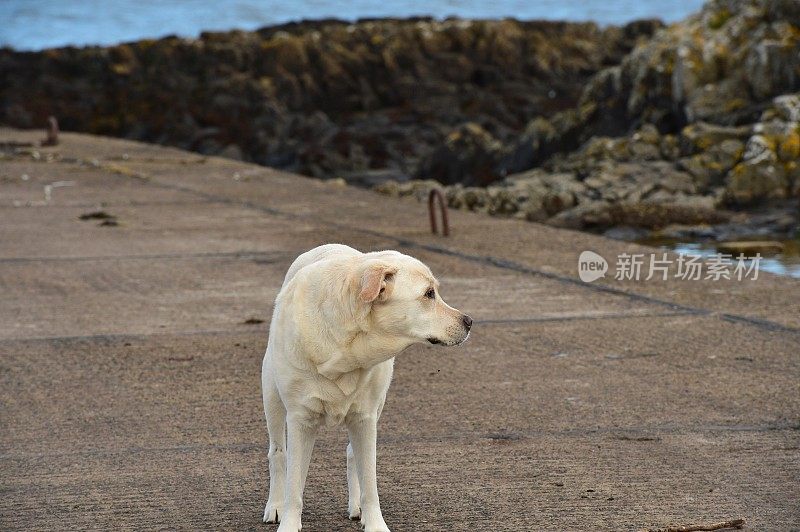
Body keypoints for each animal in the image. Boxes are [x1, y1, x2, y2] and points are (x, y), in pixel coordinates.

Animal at [262, 243, 472, 528]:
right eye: (429, 294)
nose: (469, 321)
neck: (346, 344)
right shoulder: (300, 420)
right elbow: (294, 488)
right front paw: (288, 523)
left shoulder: (365, 418)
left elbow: (370, 482)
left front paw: (375, 524)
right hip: (271, 396)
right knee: (277, 453)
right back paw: (274, 506)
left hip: (377, 405)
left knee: (353, 454)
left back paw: (356, 506)